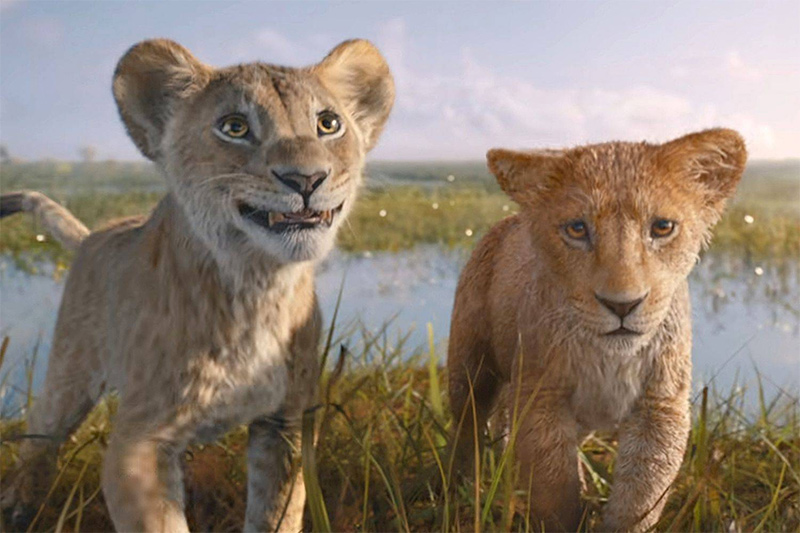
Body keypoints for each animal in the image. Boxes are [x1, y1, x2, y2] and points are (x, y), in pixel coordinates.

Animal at [0, 38, 394, 532]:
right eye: (235, 127)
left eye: (328, 123)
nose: (306, 179)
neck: (257, 285)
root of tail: (95, 234)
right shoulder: (138, 441)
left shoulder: (284, 425)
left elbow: (278, 512)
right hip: (70, 373)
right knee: (41, 432)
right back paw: (17, 506)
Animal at [447, 128, 746, 531]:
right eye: (577, 229)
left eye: (662, 227)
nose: (622, 305)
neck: (608, 358)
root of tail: (505, 223)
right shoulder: (542, 397)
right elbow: (554, 491)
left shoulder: (660, 407)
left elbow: (640, 498)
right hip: (470, 366)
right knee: (467, 424)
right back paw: (461, 487)